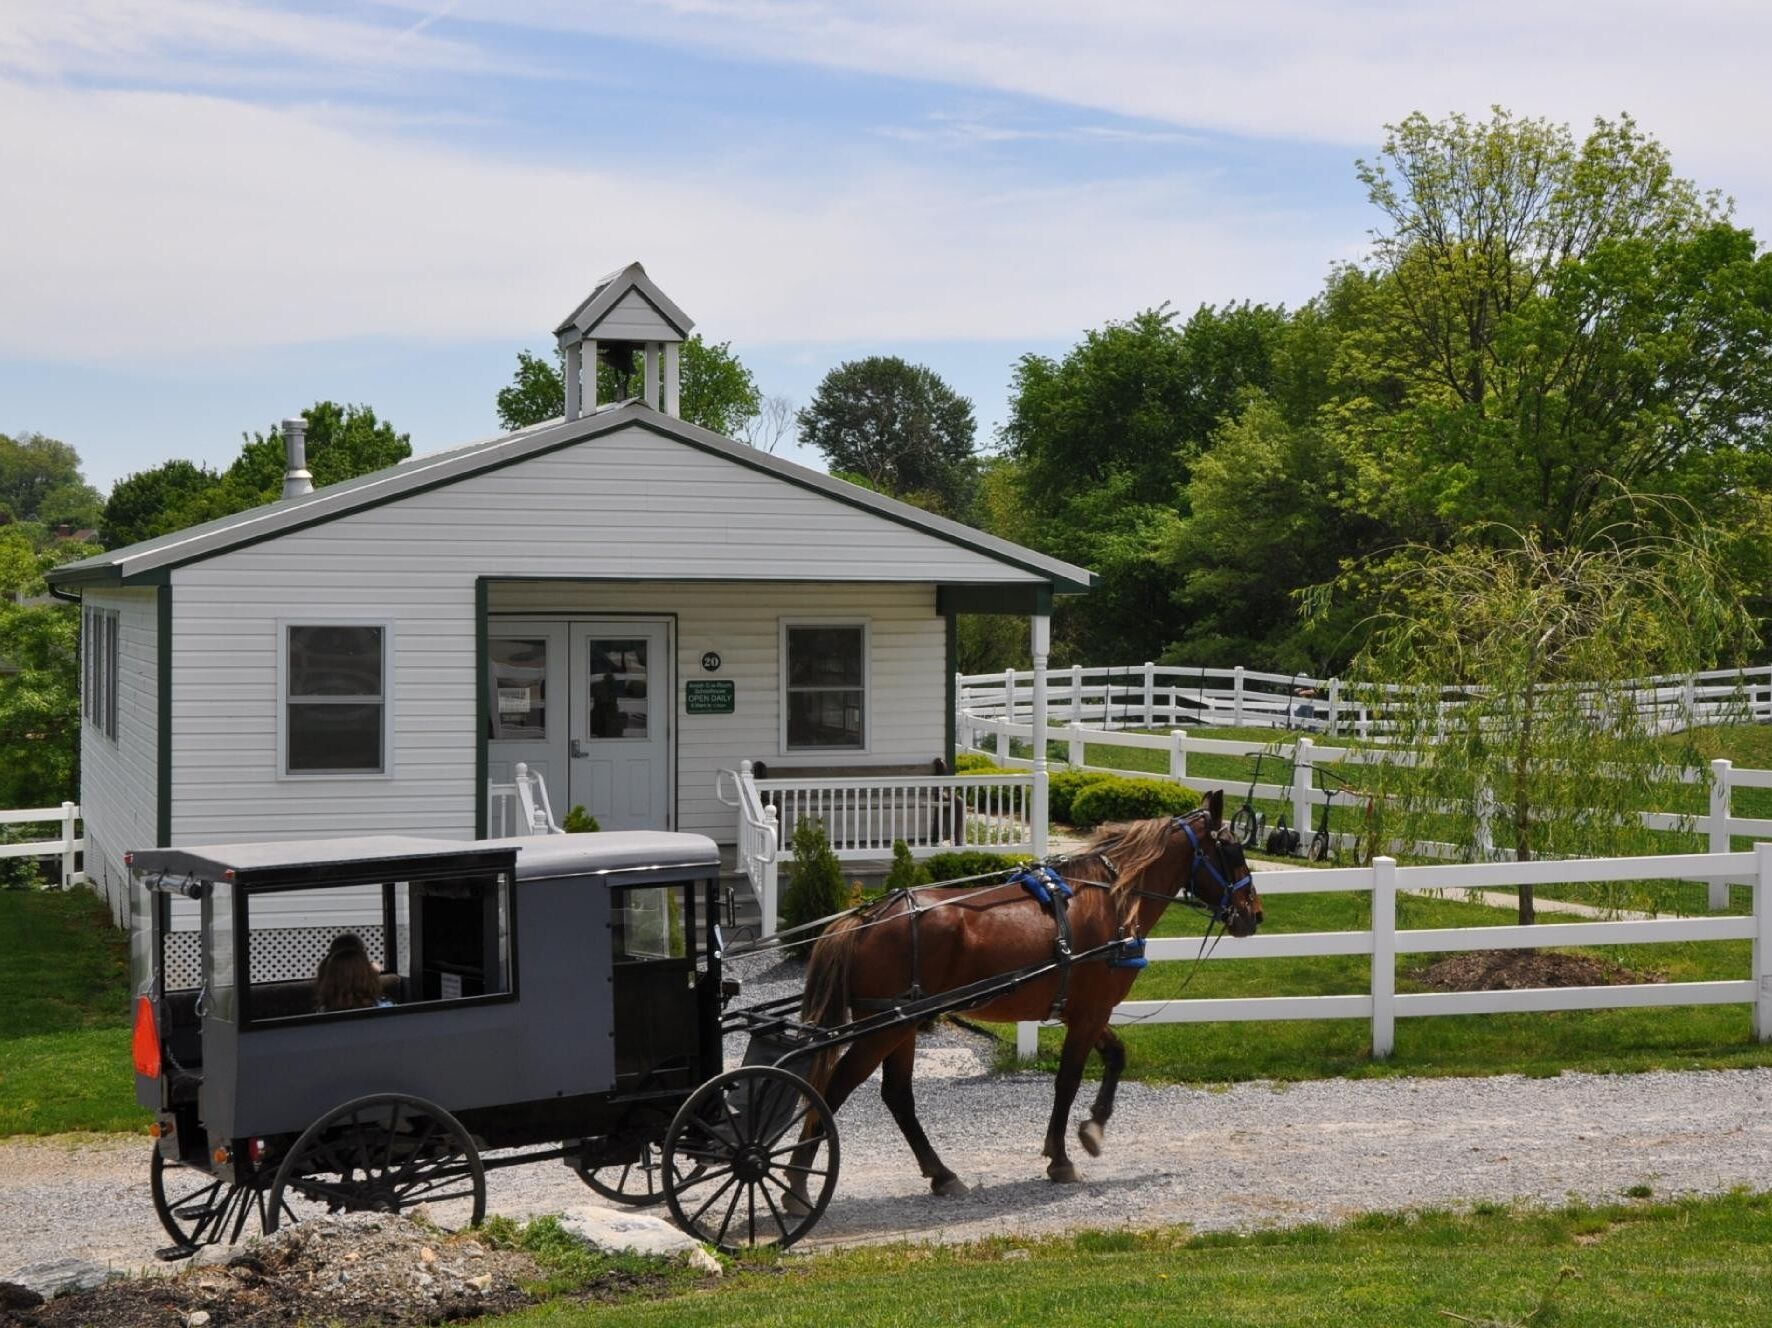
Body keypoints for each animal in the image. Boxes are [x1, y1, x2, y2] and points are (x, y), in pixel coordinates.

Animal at [804, 787, 1261, 1191]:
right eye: (1232, 851)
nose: (1254, 913)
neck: (1111, 900)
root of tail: (867, 918)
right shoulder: (1090, 1013)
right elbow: (1068, 1081)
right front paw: (1061, 1158)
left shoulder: (1087, 1009)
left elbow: (1116, 1056)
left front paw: (1094, 1127)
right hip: (886, 1029)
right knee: (834, 1089)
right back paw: (800, 1183)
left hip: (902, 1026)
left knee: (897, 1095)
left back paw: (941, 1174)